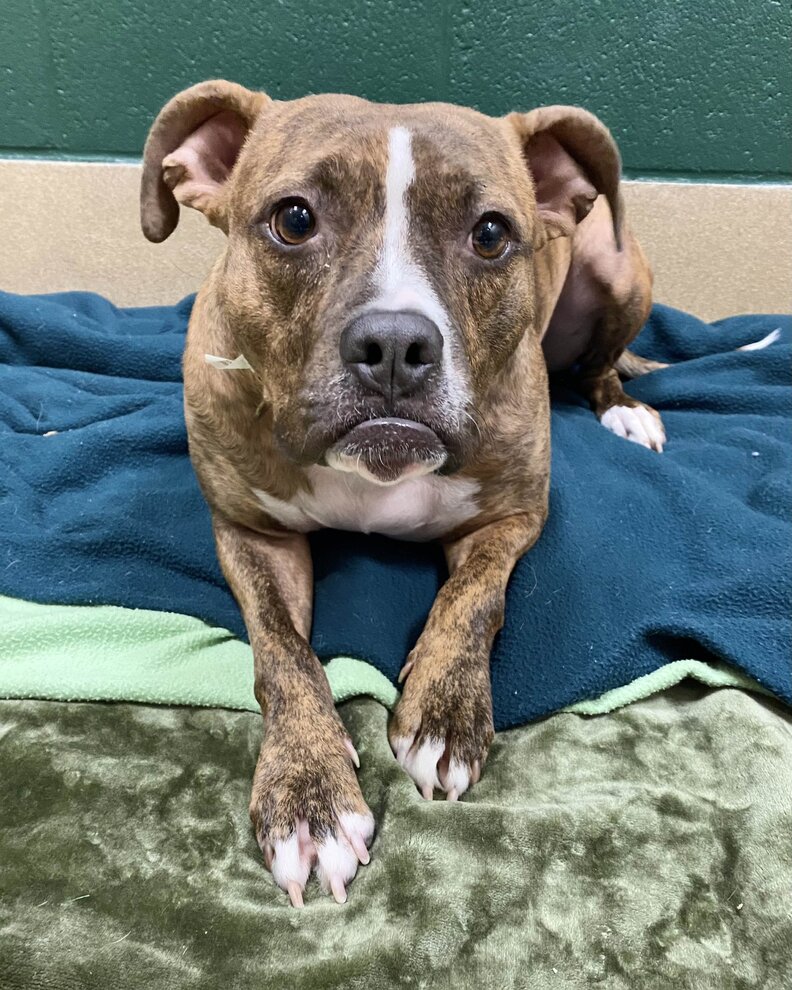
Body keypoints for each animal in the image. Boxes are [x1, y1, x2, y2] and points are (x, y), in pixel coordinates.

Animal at [140, 80, 663, 907]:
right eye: (294, 219)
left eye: (491, 233)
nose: (394, 344)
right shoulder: (251, 533)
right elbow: (283, 655)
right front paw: (309, 794)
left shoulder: (514, 514)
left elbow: (474, 600)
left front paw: (445, 716)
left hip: (618, 267)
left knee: (604, 363)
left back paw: (624, 409)